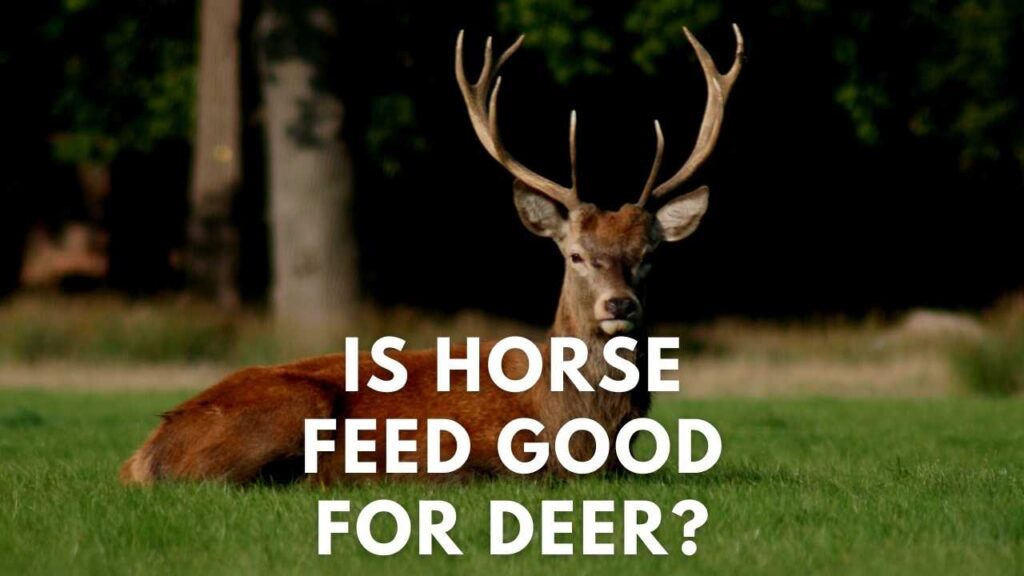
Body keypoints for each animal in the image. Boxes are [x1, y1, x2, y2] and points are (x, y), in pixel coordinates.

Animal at [120, 25, 743, 485]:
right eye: (574, 255)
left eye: (650, 254)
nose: (620, 305)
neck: (580, 429)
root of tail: (142, 455)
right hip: (288, 407)